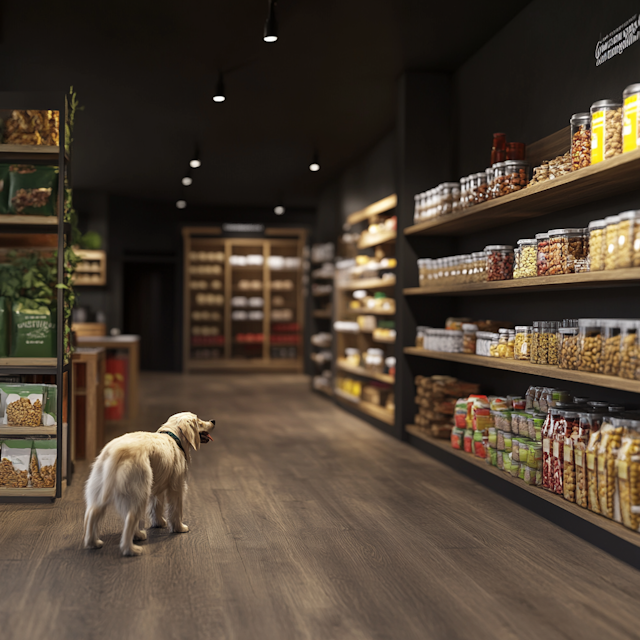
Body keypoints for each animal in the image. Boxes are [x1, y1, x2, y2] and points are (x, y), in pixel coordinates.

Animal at [82, 416, 215, 556]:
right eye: (198, 420)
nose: (213, 421)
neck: (173, 437)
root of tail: (116, 453)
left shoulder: (157, 488)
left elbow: (156, 507)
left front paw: (159, 523)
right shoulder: (177, 487)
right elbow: (175, 510)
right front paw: (180, 528)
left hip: (100, 490)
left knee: (92, 514)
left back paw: (94, 543)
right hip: (139, 492)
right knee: (130, 519)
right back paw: (131, 549)